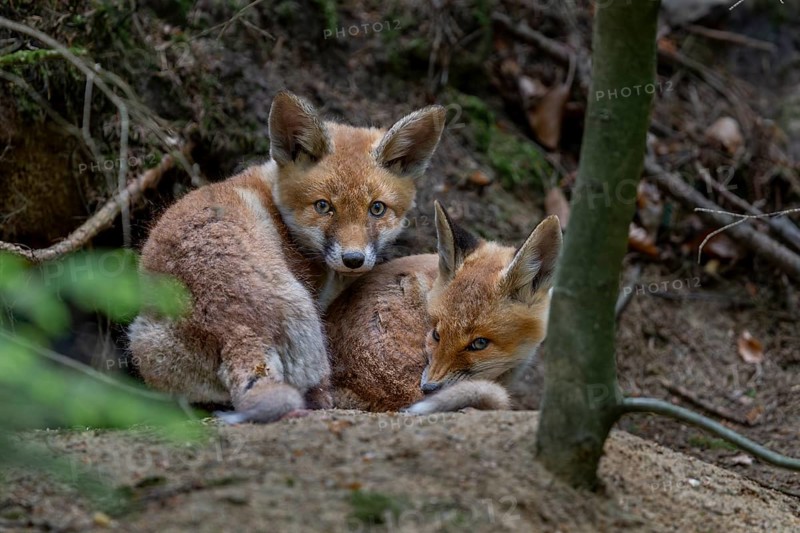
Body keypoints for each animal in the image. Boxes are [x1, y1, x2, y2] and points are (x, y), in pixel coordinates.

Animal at [128, 91, 446, 423]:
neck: (276, 201)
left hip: (144, 345)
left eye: (377, 208)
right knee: (320, 398)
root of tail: (238, 330)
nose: (353, 259)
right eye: (323, 206)